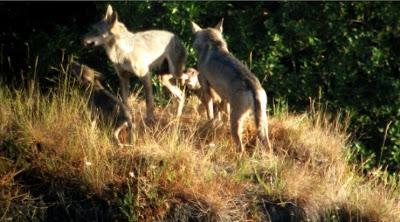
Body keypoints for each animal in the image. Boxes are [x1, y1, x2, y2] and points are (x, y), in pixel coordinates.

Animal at [191, 19, 272, 152]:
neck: (213, 45)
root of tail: (253, 86)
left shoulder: (206, 88)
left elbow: (210, 114)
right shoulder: (225, 98)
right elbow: (221, 115)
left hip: (236, 121)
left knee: (240, 146)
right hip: (262, 122)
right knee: (267, 144)